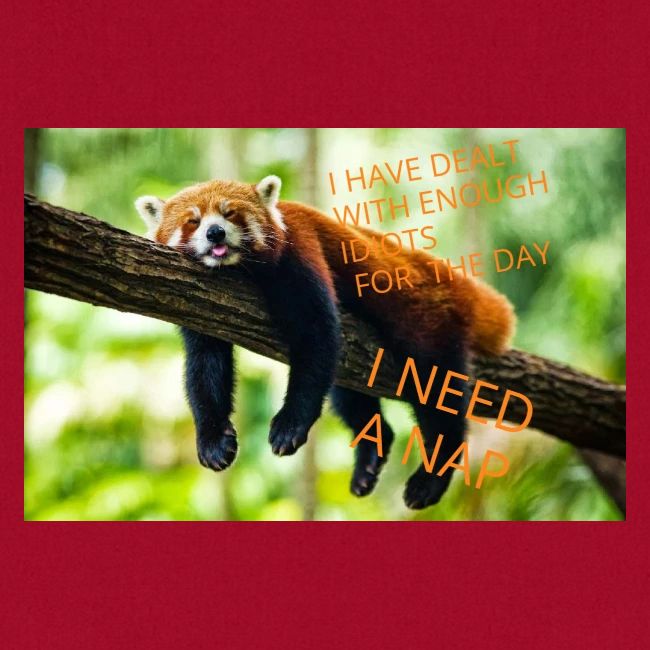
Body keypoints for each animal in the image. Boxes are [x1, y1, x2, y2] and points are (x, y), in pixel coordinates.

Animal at [136, 175, 515, 509]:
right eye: (193, 221)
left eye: (230, 214)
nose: (215, 232)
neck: (239, 270)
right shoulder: (200, 304)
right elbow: (205, 366)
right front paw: (213, 440)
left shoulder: (300, 252)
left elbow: (316, 337)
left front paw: (290, 425)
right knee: (348, 395)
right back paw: (369, 458)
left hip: (427, 323)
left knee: (436, 392)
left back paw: (431, 477)